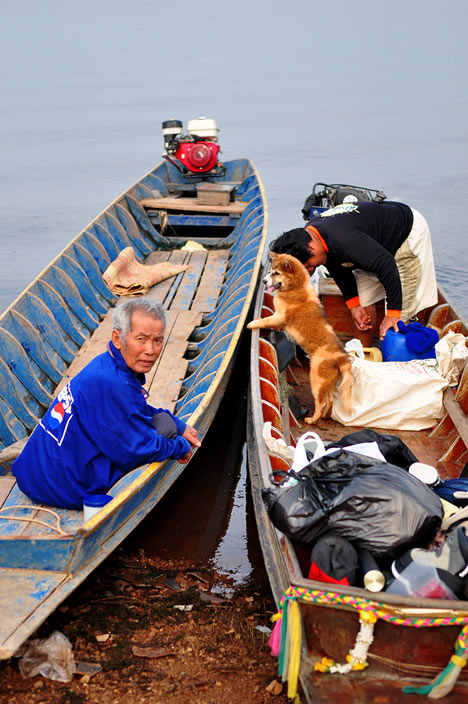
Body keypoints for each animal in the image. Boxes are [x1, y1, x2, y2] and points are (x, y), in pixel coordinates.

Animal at [249, 253, 352, 424]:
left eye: (276, 273)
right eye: (270, 272)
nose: (263, 281)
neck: (295, 287)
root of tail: (341, 359)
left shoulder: (279, 317)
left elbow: (265, 321)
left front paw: (252, 323)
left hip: (316, 380)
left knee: (321, 402)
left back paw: (312, 419)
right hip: (327, 383)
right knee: (330, 400)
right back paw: (325, 416)